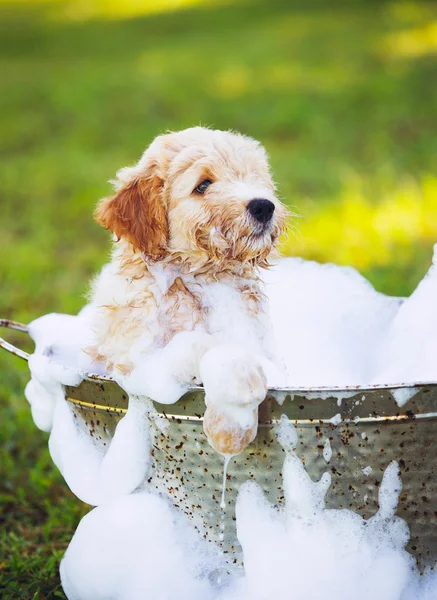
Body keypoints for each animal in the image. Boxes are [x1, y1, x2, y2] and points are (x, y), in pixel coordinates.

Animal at [89, 126, 286, 454]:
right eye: (203, 185)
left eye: (253, 177)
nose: (263, 206)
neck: (209, 277)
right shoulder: (135, 358)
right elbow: (200, 345)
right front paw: (235, 403)